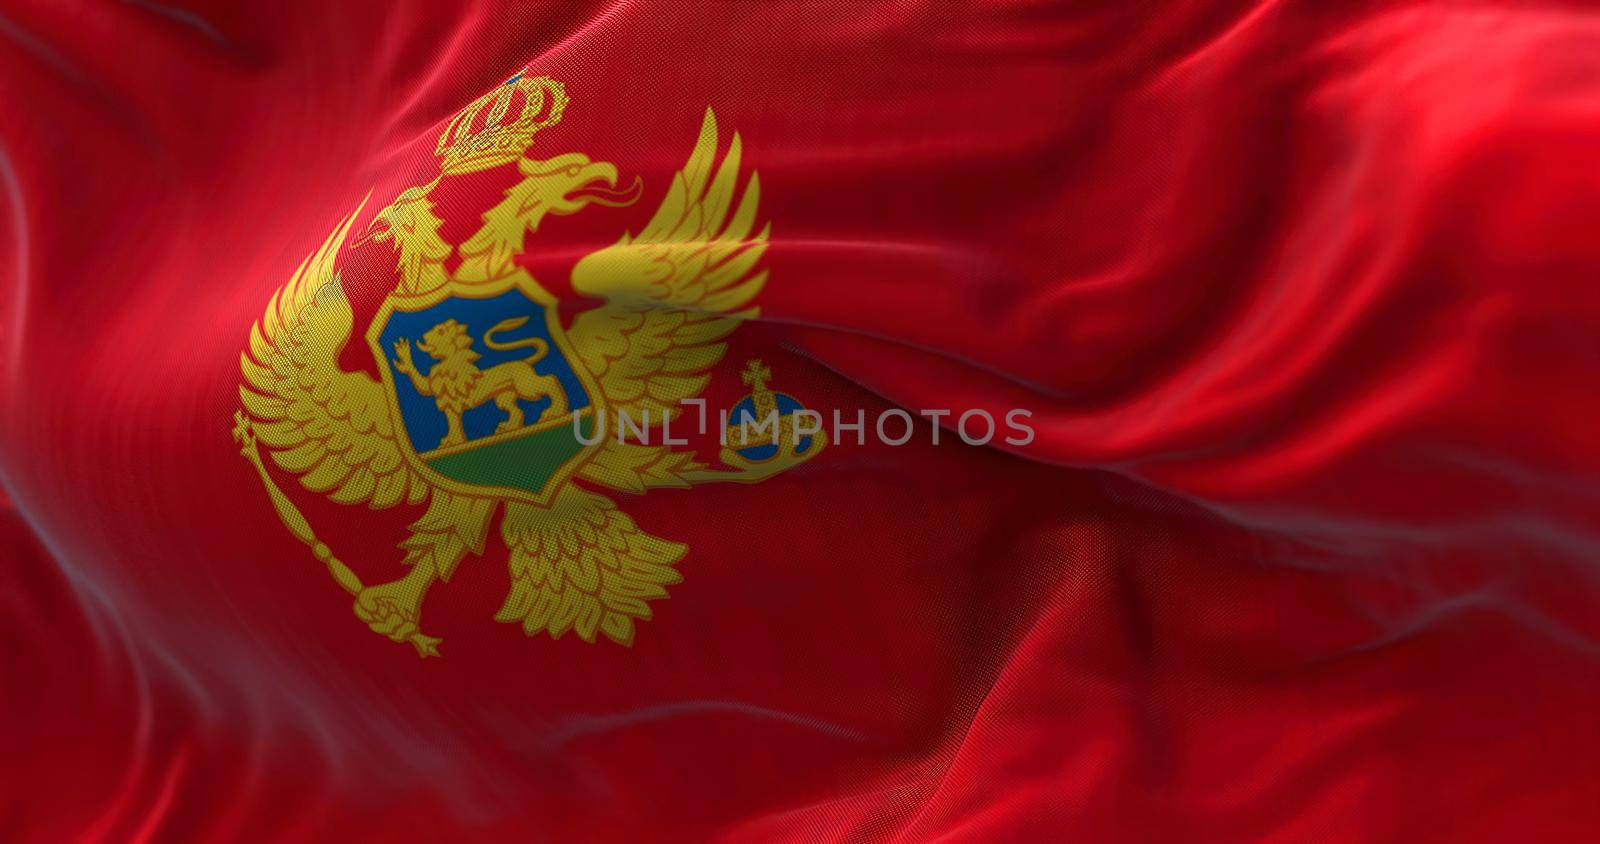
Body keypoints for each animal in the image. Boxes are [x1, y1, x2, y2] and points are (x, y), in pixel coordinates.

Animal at [392, 316, 569, 447]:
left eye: (440, 331)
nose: (425, 335)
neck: (450, 364)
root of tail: (524, 362)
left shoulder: (451, 401)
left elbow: (453, 423)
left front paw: (453, 441)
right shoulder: (446, 400)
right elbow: (451, 421)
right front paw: (404, 357)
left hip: (525, 386)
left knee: (550, 380)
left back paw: (555, 411)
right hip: (504, 395)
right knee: (516, 410)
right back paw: (509, 427)